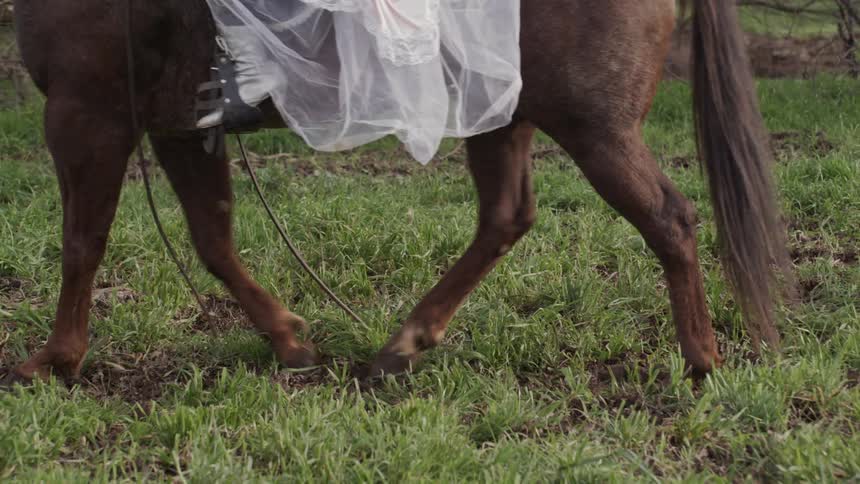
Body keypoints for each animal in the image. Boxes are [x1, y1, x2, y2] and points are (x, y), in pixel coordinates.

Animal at [7, 0, 788, 384]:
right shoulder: (175, 124)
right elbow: (213, 238)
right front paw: (288, 339)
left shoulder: (86, 112)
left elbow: (82, 241)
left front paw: (57, 360)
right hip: (504, 112)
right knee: (505, 218)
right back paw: (402, 347)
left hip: (593, 126)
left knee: (669, 219)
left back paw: (701, 361)